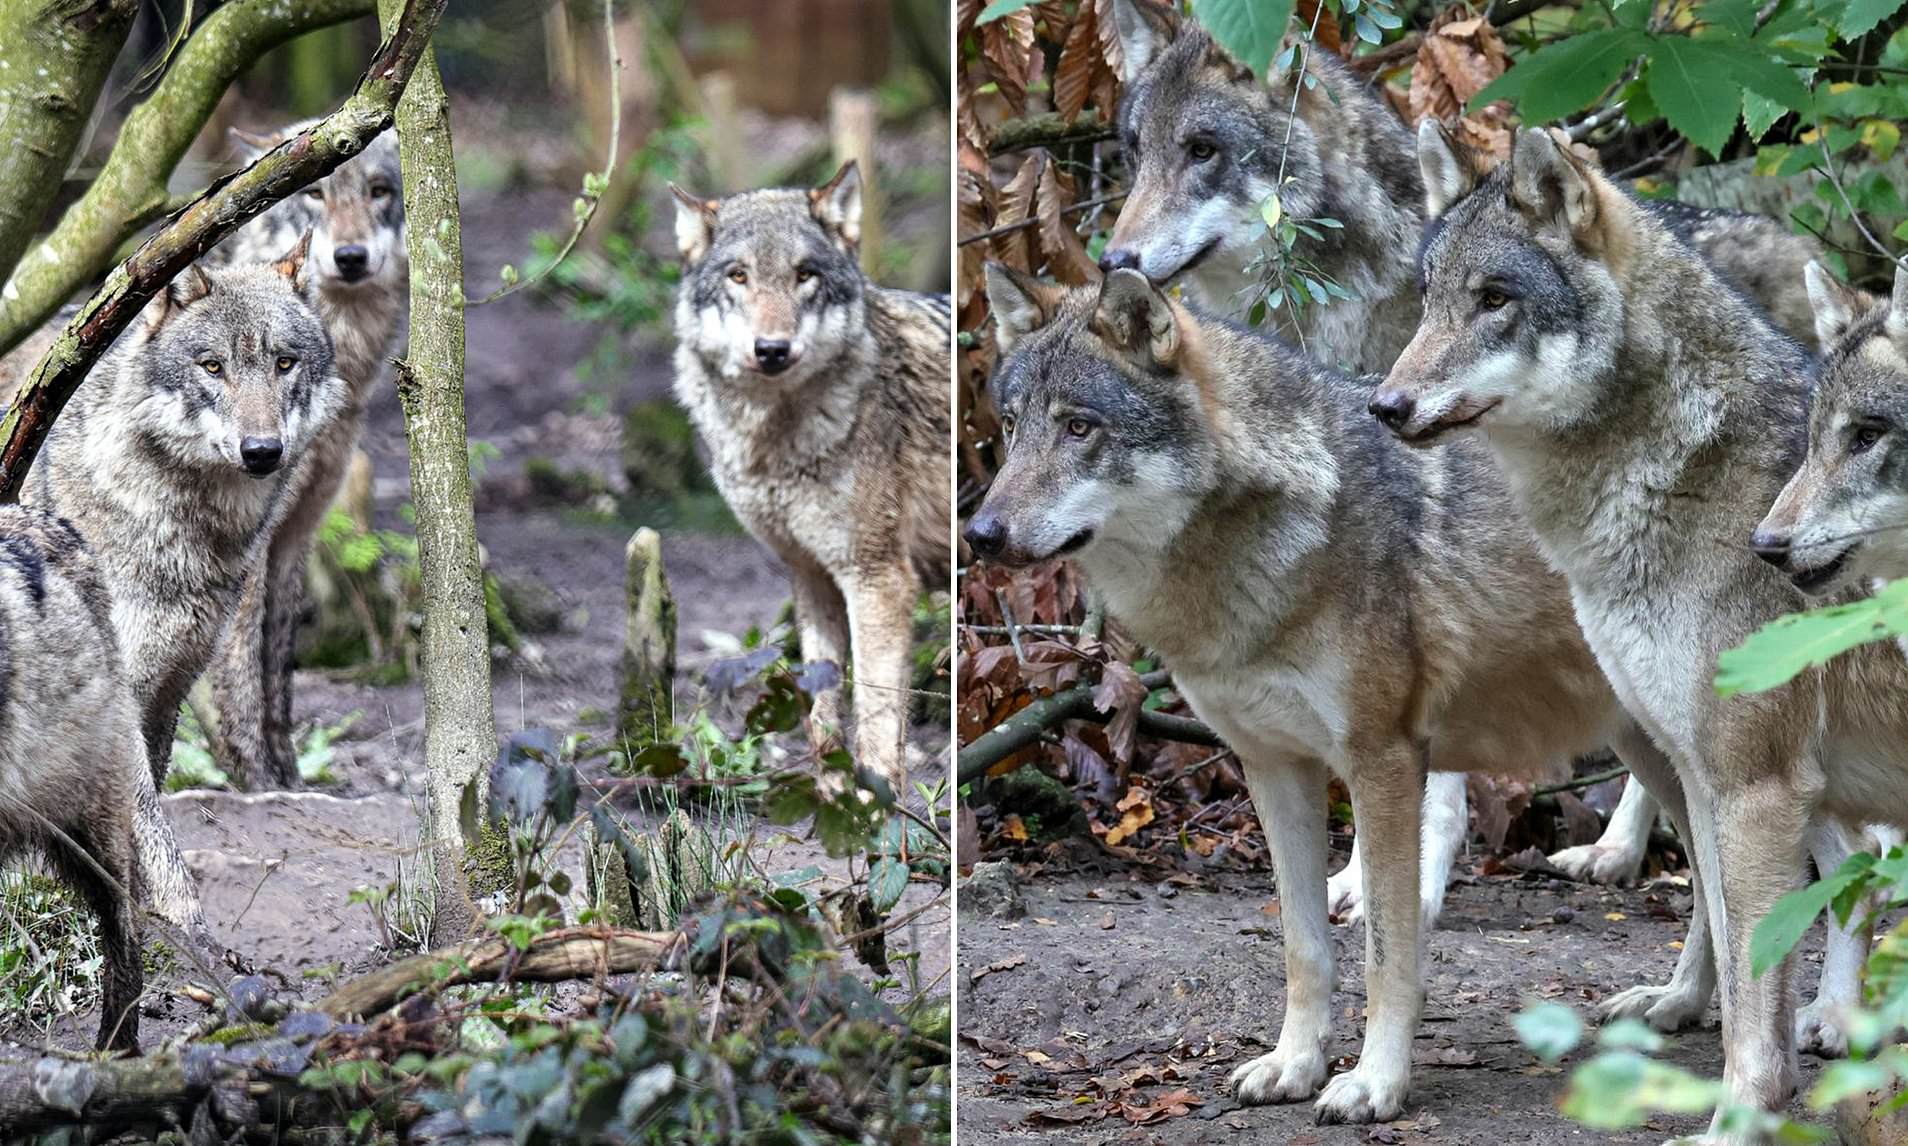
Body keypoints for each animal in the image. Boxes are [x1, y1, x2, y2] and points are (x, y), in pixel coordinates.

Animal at [25, 241, 345, 948]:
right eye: (213, 366)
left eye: (284, 362)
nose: (262, 451)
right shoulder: (117, 704)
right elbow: (148, 822)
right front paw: (185, 925)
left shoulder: (169, 687)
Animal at [200, 123, 408, 789]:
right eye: (314, 193)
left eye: (378, 192)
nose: (350, 257)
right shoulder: (244, 547)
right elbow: (239, 673)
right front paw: (256, 784)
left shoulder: (296, 533)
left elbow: (278, 667)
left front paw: (289, 776)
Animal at [670, 161, 949, 798]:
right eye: (739, 276)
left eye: (804, 276)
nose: (772, 349)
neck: (777, 444)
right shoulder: (811, 575)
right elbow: (823, 718)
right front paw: (833, 801)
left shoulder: (878, 579)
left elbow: (875, 718)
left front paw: (878, 808)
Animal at [965, 264, 1721, 1122]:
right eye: (1014, 426)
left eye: (1080, 428)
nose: (981, 534)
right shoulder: (1273, 768)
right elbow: (1304, 948)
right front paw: (1293, 1065)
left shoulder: (1383, 761)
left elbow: (1386, 953)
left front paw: (1373, 1082)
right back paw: (1678, 1003)